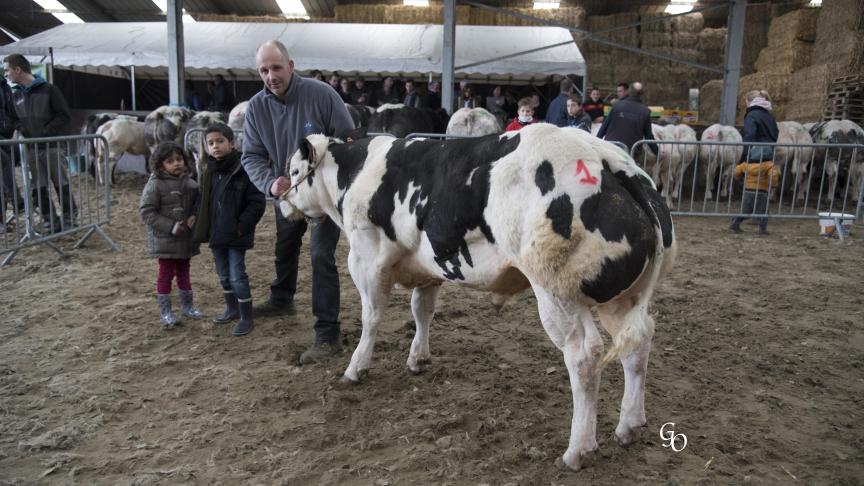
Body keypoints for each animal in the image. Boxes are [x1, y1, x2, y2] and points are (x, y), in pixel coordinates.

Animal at [280, 124, 680, 470]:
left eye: (295, 169)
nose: (277, 195)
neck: (357, 172)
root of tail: (610, 162)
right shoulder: (430, 265)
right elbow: (422, 310)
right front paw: (418, 358)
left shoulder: (365, 257)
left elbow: (371, 317)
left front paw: (356, 367)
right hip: (622, 298)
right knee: (637, 346)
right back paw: (629, 426)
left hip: (557, 294)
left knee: (584, 357)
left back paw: (577, 450)